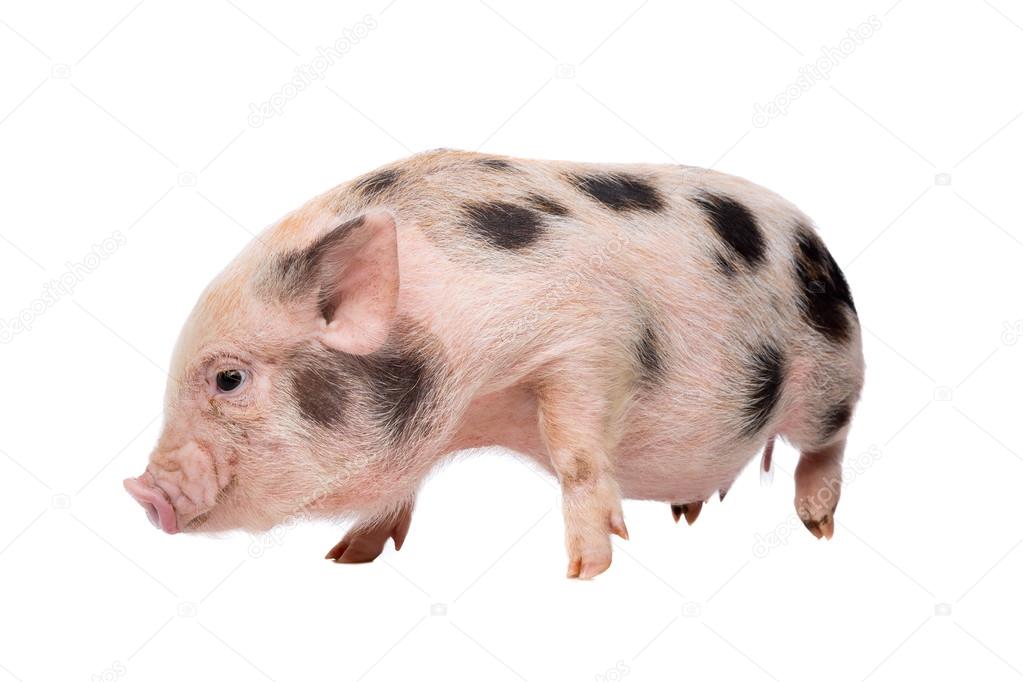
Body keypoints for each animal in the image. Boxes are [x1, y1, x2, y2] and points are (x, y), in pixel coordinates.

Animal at [124, 149, 863, 579]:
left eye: (229, 379)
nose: (141, 491)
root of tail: (821, 243)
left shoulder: (590, 339)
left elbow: (575, 452)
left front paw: (586, 569)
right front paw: (346, 558)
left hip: (832, 374)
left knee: (827, 442)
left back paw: (819, 527)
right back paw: (687, 510)